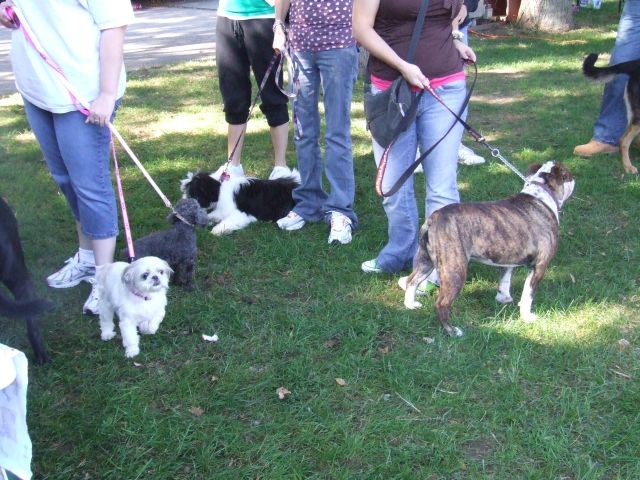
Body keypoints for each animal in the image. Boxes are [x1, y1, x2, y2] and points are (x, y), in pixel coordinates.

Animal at [403, 162, 575, 337]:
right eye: (569, 175)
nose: (574, 178)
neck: (542, 193)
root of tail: (434, 218)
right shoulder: (539, 266)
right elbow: (528, 294)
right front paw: (527, 317)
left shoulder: (508, 260)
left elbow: (505, 281)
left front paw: (504, 299)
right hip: (454, 270)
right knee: (441, 303)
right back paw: (452, 331)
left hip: (425, 260)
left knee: (412, 280)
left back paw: (411, 305)